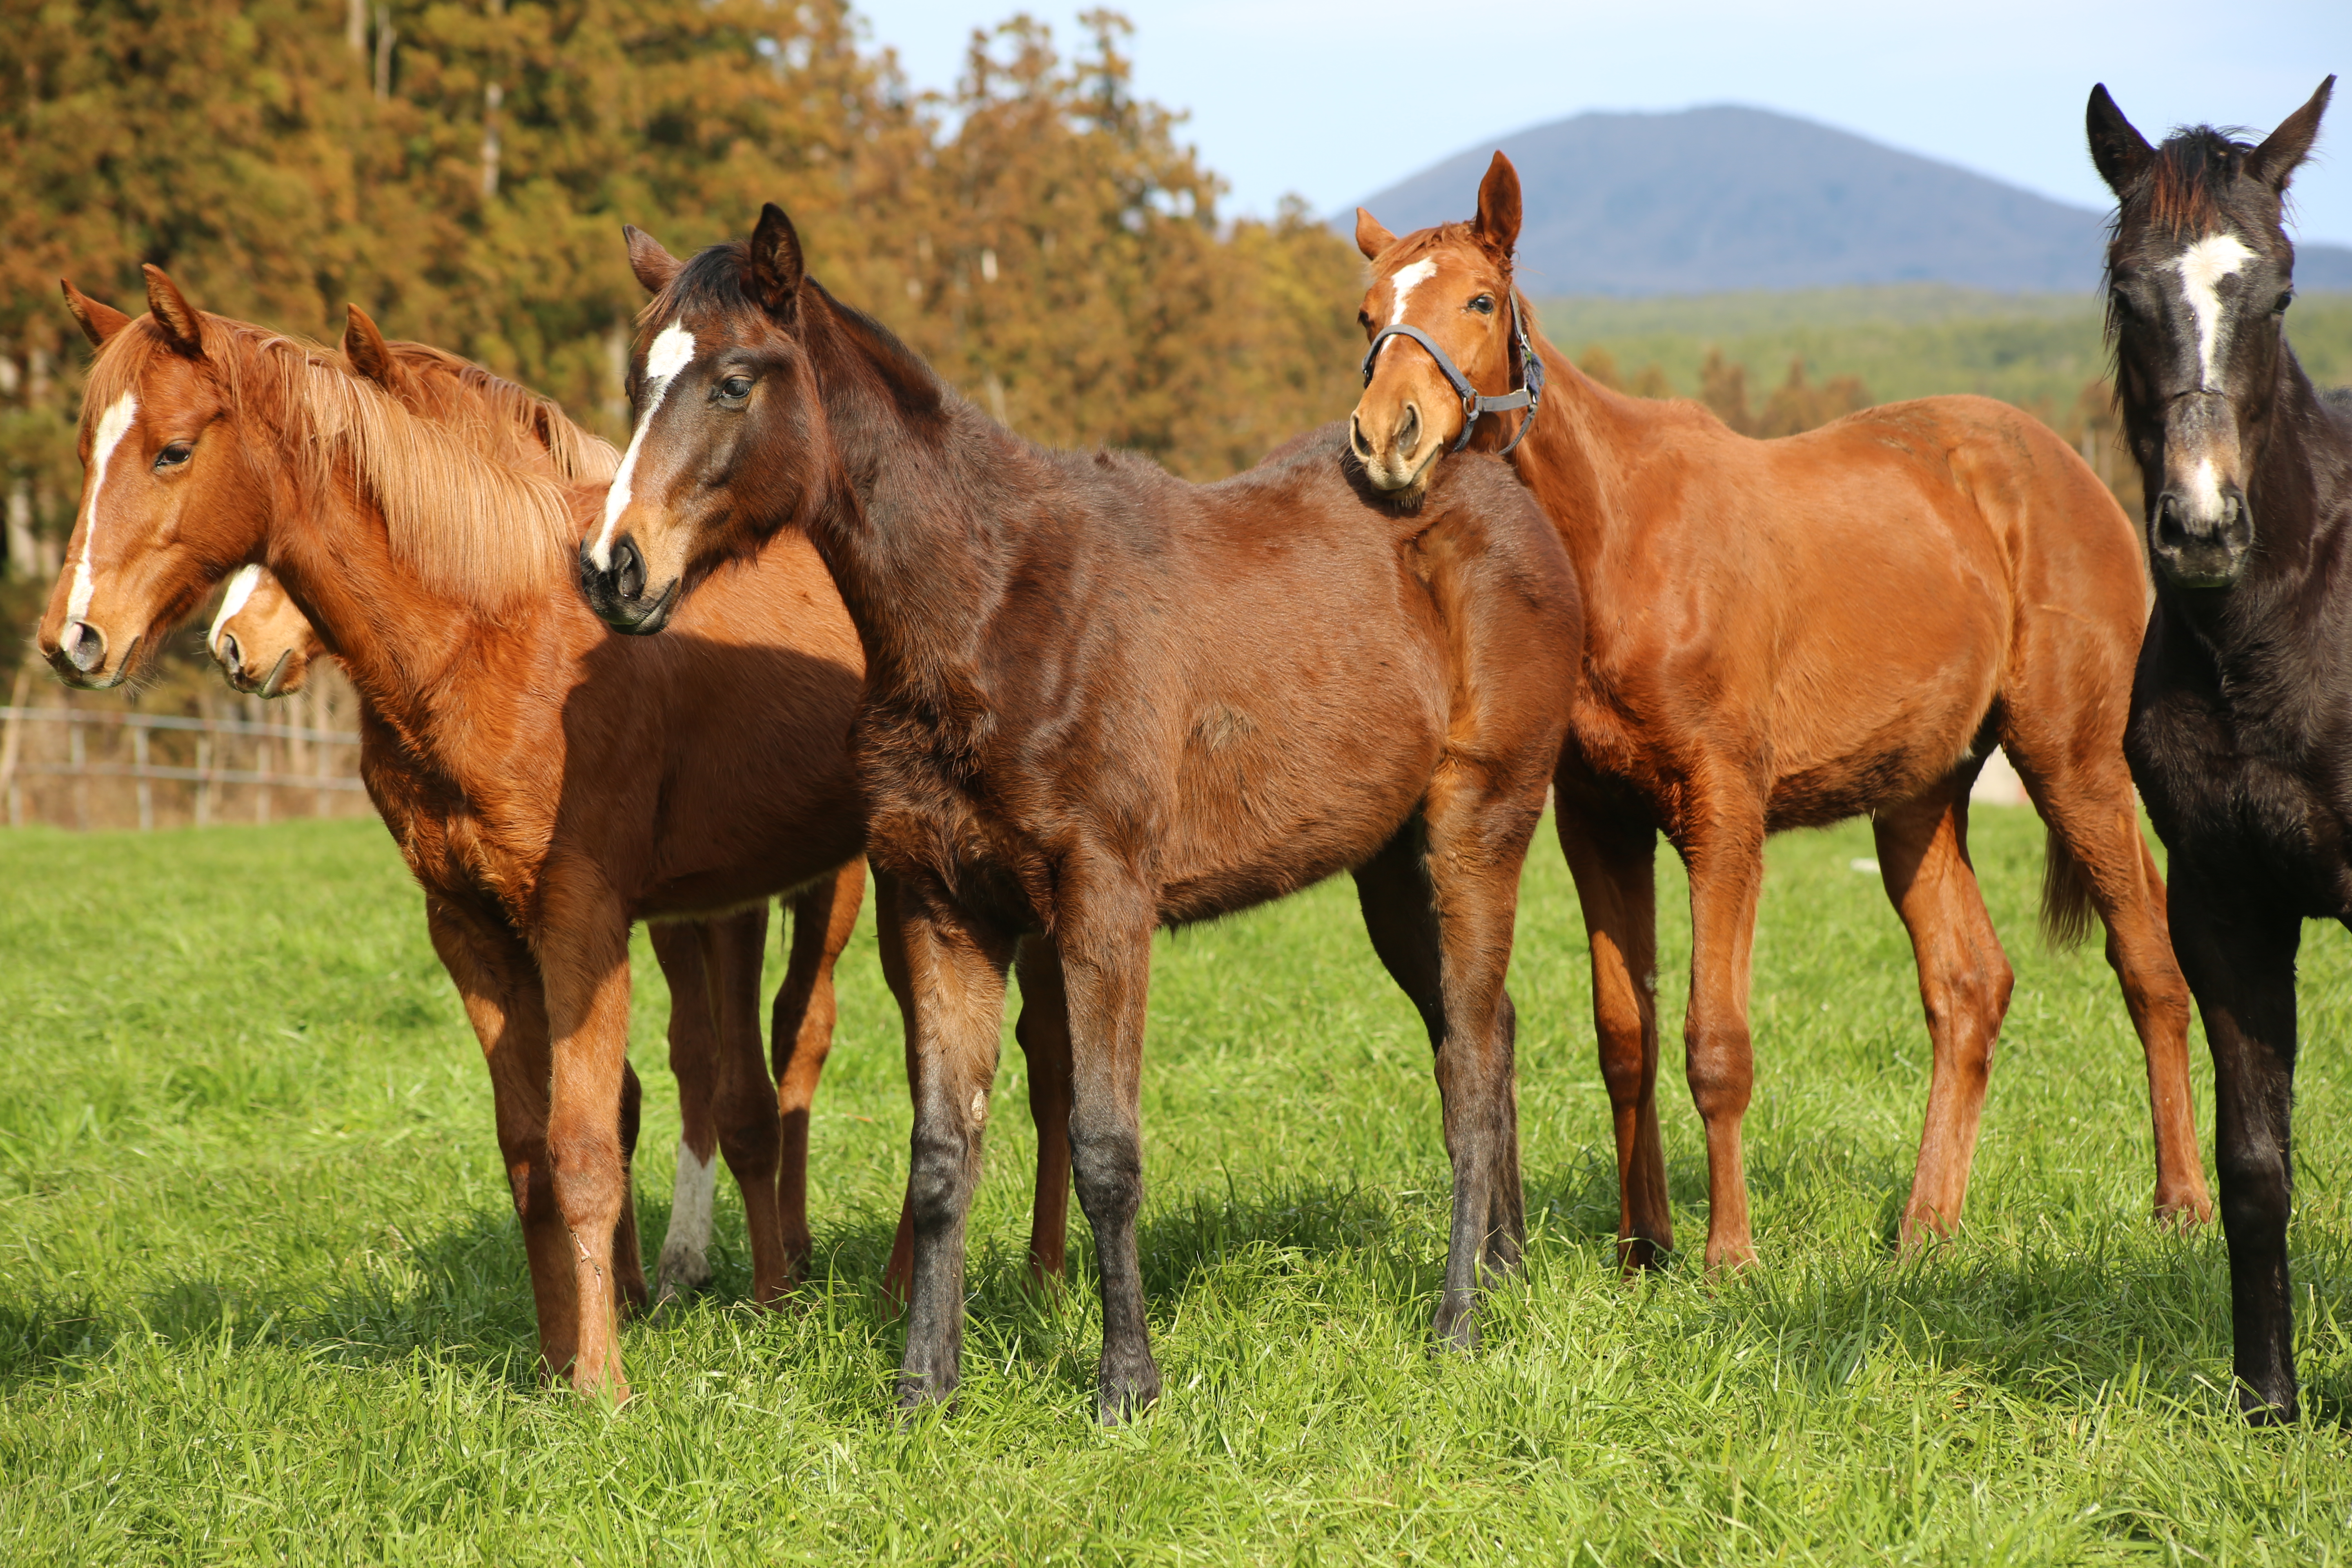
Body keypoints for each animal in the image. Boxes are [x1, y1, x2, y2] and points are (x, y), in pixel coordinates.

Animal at [25, 267, 1077, 1401]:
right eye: (86, 451)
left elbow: (590, 1146)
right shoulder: (474, 928)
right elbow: (533, 1149)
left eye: (173, 450)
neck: (494, 630)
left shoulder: (588, 920)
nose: (74, 636)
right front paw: (552, 1357)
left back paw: (1002, 1280)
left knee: (999, 1063)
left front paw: (605, 1384)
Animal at [569, 205, 1580, 1420]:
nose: (612, 568)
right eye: (636, 380)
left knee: (1469, 1066)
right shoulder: (942, 909)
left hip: (1477, 830)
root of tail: (1496, 490)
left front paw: (1126, 1384)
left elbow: (1104, 1147)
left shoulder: (1105, 904)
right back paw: (1505, 1266)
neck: (994, 608)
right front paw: (922, 1385)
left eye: (730, 382)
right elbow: (941, 1154)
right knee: (1483, 1033)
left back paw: (1457, 1320)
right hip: (1391, 870)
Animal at [1354, 150, 2211, 1278]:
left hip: (2073, 763)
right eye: (1366, 315)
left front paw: (1729, 1256)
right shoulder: (1598, 822)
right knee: (1968, 988)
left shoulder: (1724, 812)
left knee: (2149, 964)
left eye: (1479, 301)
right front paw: (1643, 1247)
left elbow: (1714, 1042)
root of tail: (2070, 471)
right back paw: (1924, 1229)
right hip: (1917, 801)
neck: (1618, 541)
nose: (1385, 439)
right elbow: (1624, 1038)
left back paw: (2181, 1204)